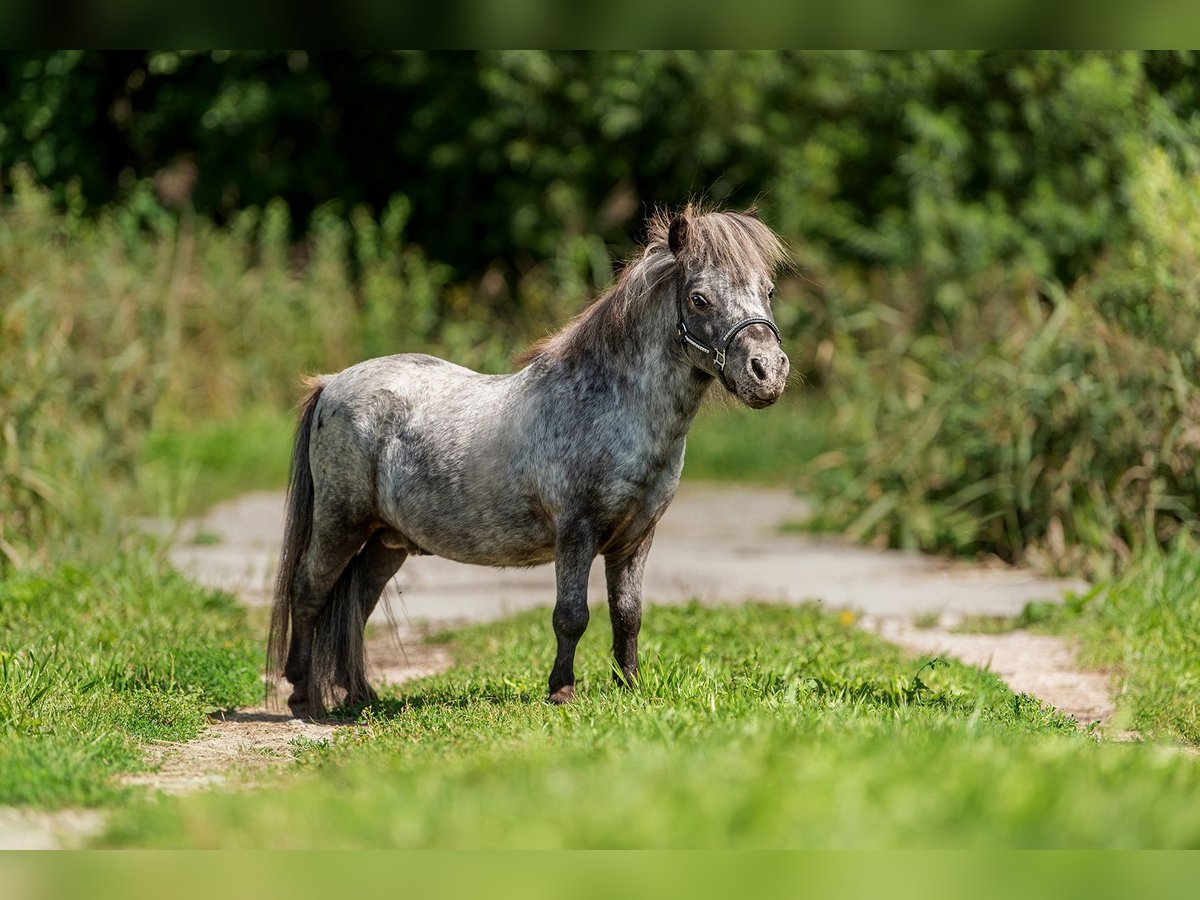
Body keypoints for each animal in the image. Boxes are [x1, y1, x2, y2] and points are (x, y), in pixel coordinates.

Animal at [268, 206, 792, 720]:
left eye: (767, 290)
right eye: (700, 298)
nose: (767, 372)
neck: (609, 405)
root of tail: (332, 383)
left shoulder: (635, 539)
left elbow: (628, 614)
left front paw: (630, 687)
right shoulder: (576, 532)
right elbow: (571, 615)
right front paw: (561, 690)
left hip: (385, 541)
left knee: (357, 600)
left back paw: (360, 696)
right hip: (340, 522)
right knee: (309, 590)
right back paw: (302, 697)